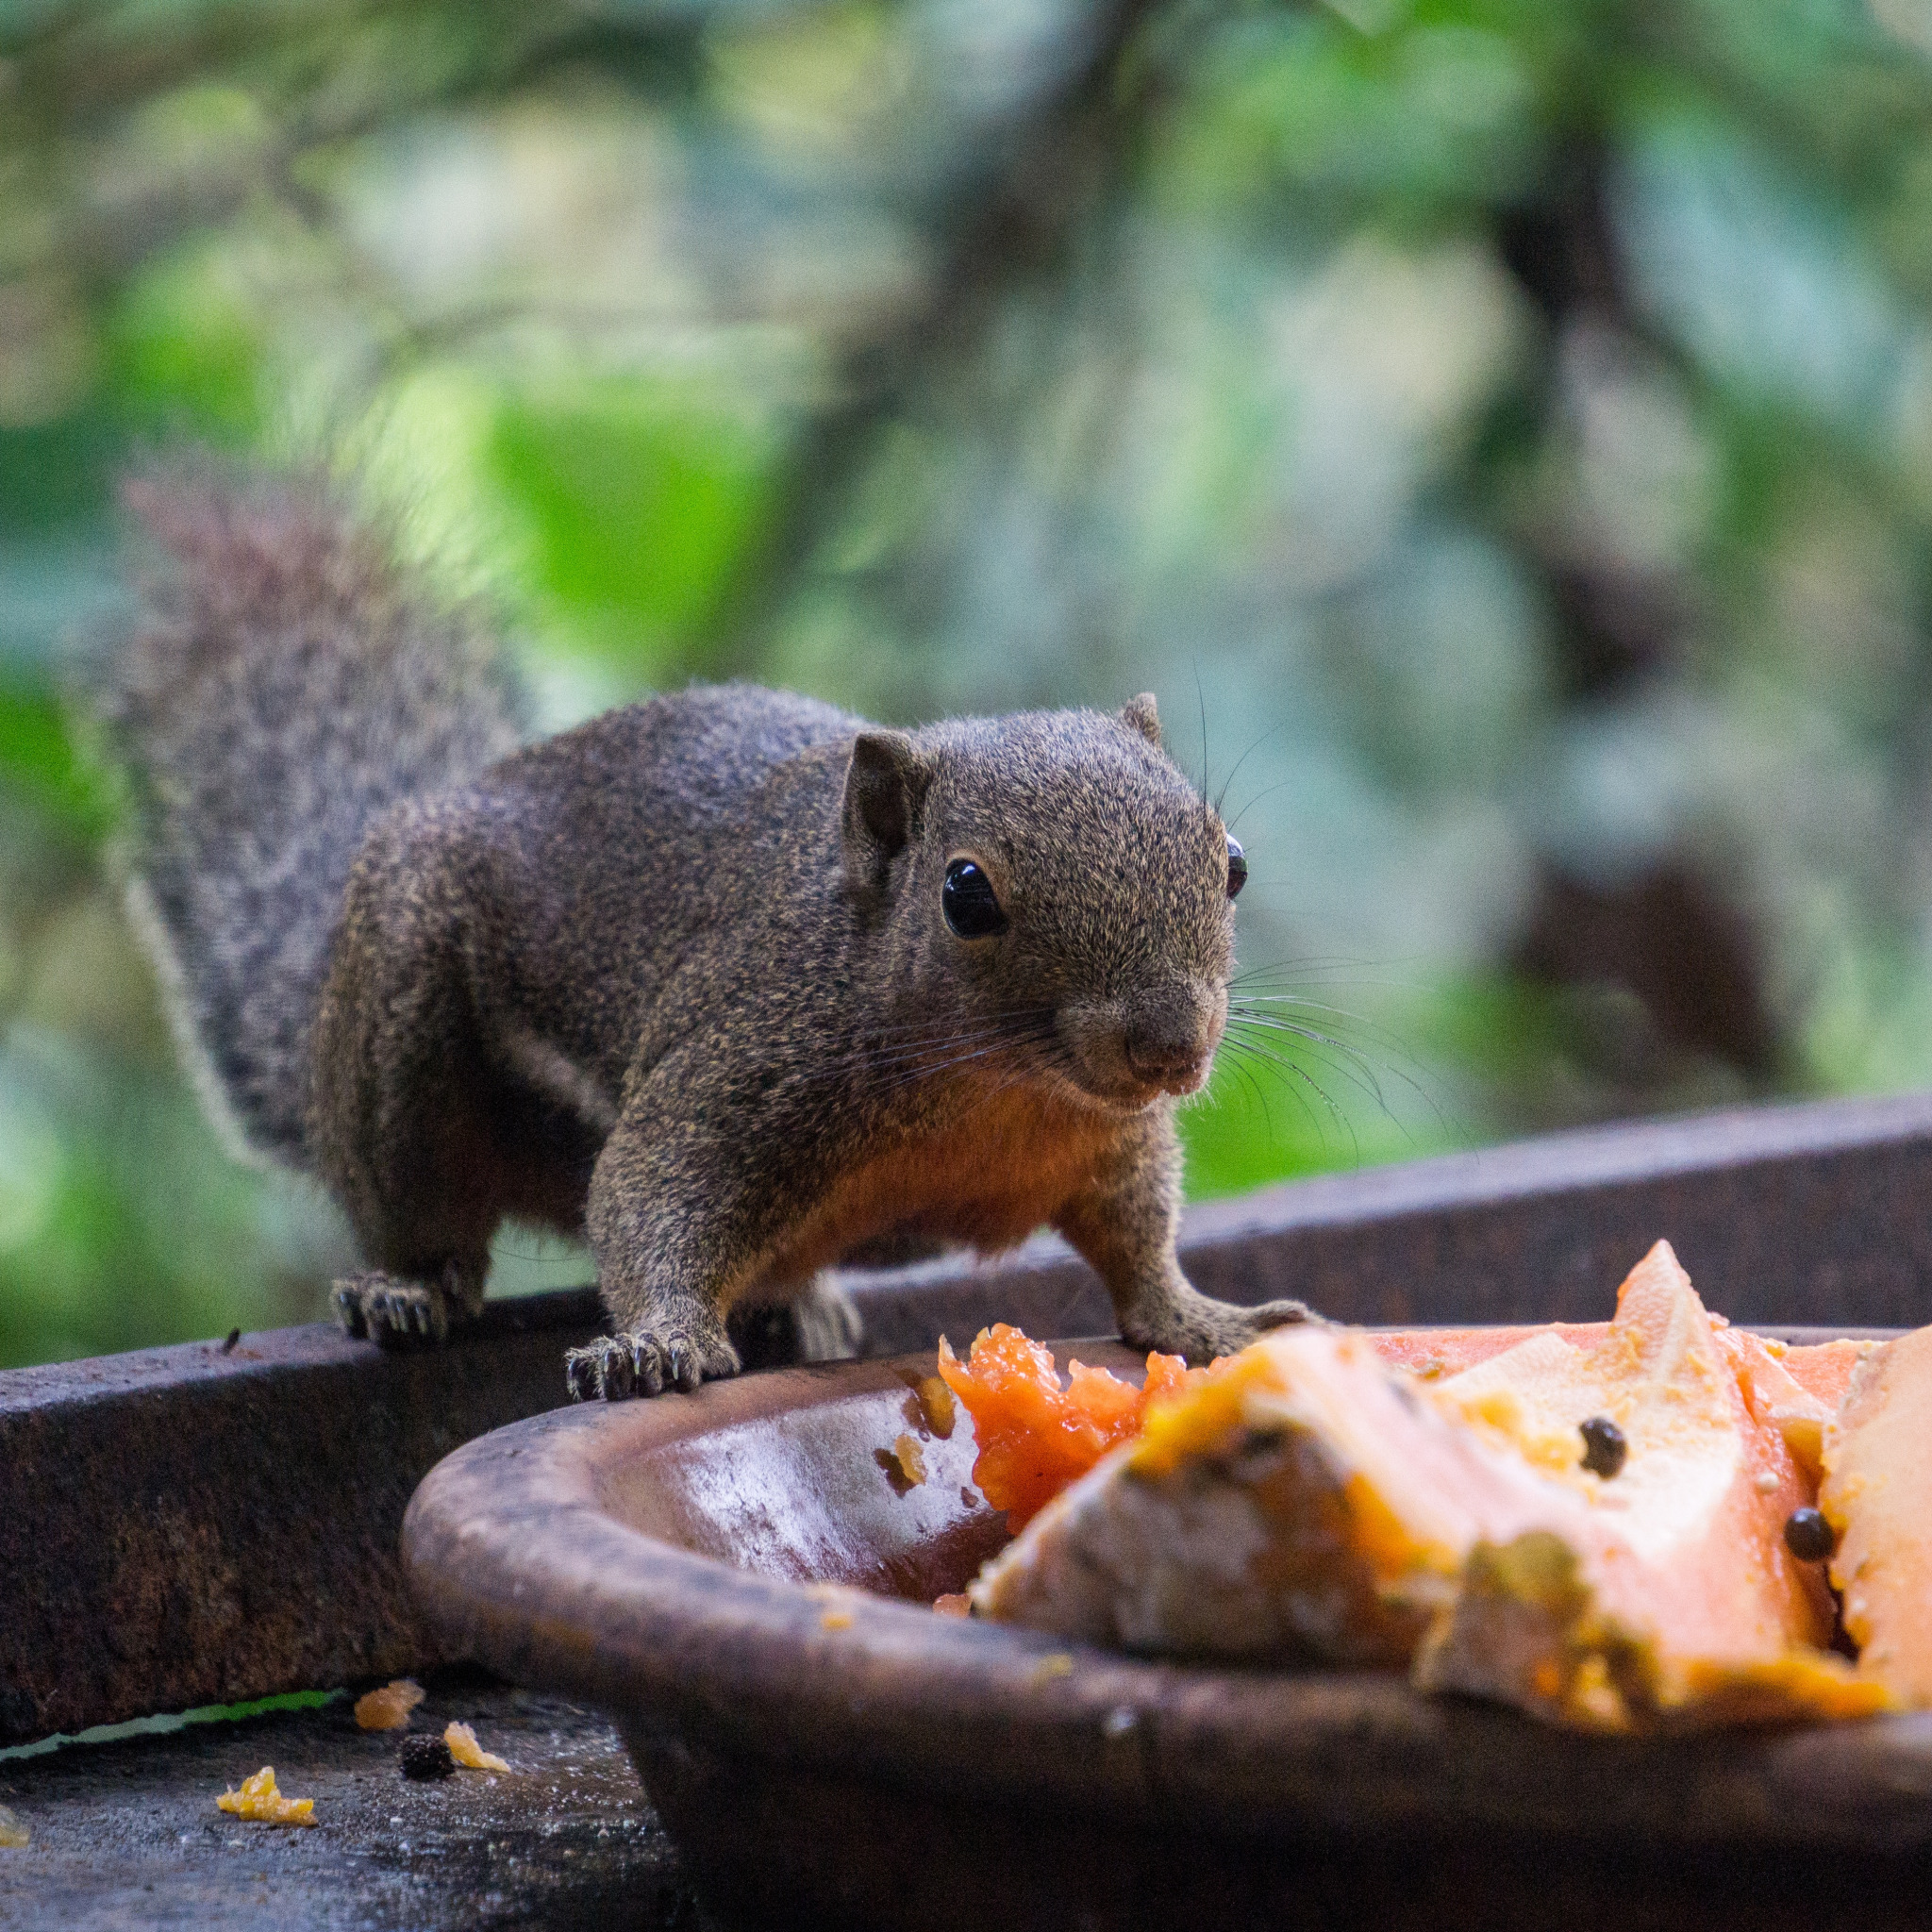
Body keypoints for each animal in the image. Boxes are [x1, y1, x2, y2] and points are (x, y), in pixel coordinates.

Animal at [102, 467, 1313, 1406]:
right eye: (966, 893)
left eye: (1233, 861)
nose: (1170, 1047)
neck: (995, 1087)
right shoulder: (741, 1060)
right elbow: (650, 1192)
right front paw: (658, 1344)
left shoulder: (1111, 1139)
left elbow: (1138, 1237)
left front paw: (1208, 1321)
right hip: (399, 1011)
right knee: (418, 1209)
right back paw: (404, 1286)